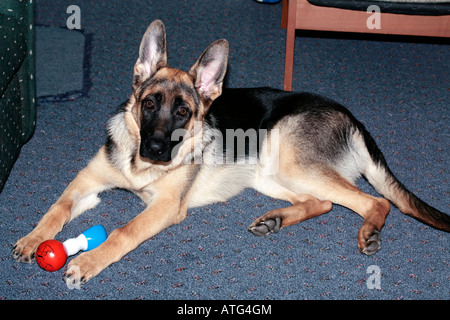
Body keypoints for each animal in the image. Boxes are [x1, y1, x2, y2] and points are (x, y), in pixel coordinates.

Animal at [12, 18, 448, 286]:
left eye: (184, 113)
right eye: (149, 104)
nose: (154, 148)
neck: (140, 167)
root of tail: (350, 115)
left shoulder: (166, 206)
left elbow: (124, 231)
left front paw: (87, 260)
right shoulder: (87, 181)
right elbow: (57, 209)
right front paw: (33, 238)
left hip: (290, 160)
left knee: (375, 202)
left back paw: (369, 231)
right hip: (270, 175)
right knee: (322, 202)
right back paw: (275, 220)